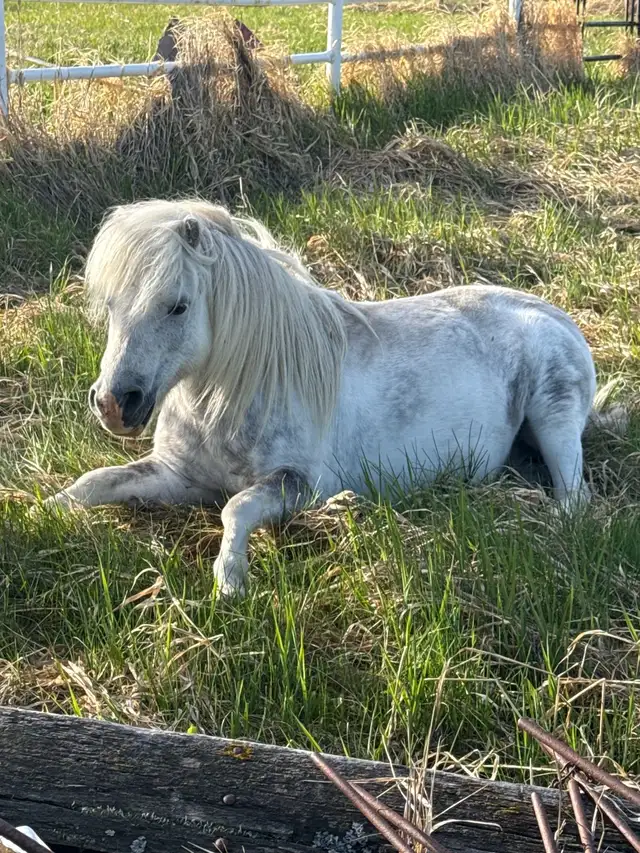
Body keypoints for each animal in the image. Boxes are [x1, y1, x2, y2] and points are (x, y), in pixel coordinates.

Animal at [42, 198, 619, 596]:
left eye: (178, 306)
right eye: (111, 304)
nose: (114, 404)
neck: (239, 392)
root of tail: (556, 316)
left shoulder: (298, 485)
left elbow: (235, 507)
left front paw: (230, 580)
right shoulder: (177, 475)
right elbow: (95, 483)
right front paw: (40, 511)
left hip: (554, 418)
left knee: (574, 497)